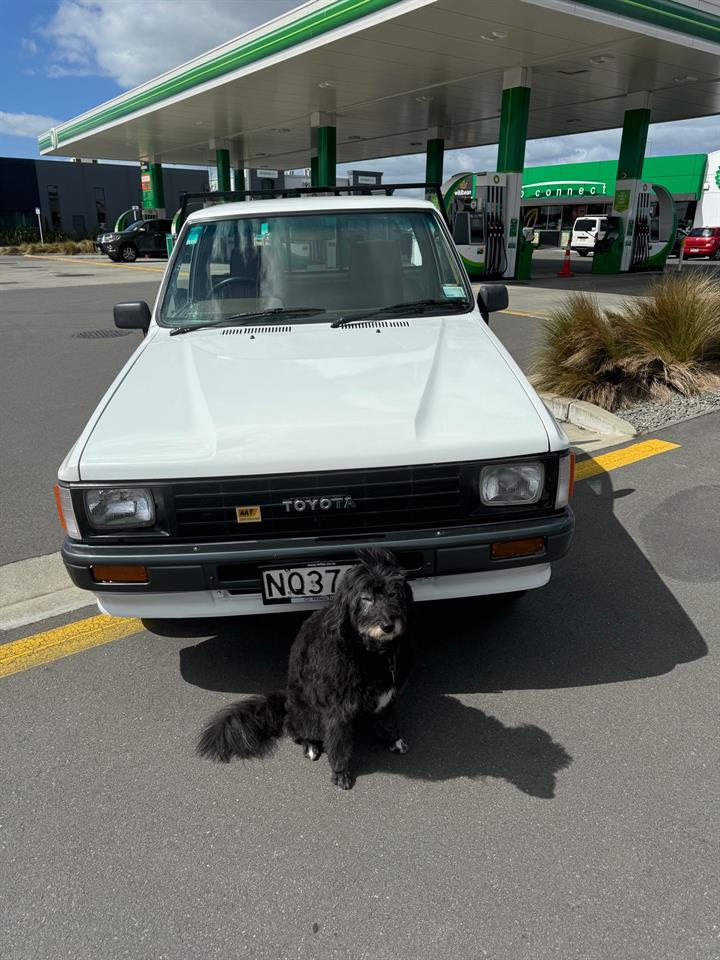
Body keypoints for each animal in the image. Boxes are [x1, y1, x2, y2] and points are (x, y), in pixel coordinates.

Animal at [197, 548, 414, 788]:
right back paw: (310, 746)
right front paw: (340, 772)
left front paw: (395, 740)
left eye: (393, 594)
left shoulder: (387, 697)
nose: (388, 626)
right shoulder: (337, 710)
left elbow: (389, 722)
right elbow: (338, 744)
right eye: (366, 598)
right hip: (305, 713)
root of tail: (286, 701)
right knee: (298, 732)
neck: (370, 653)